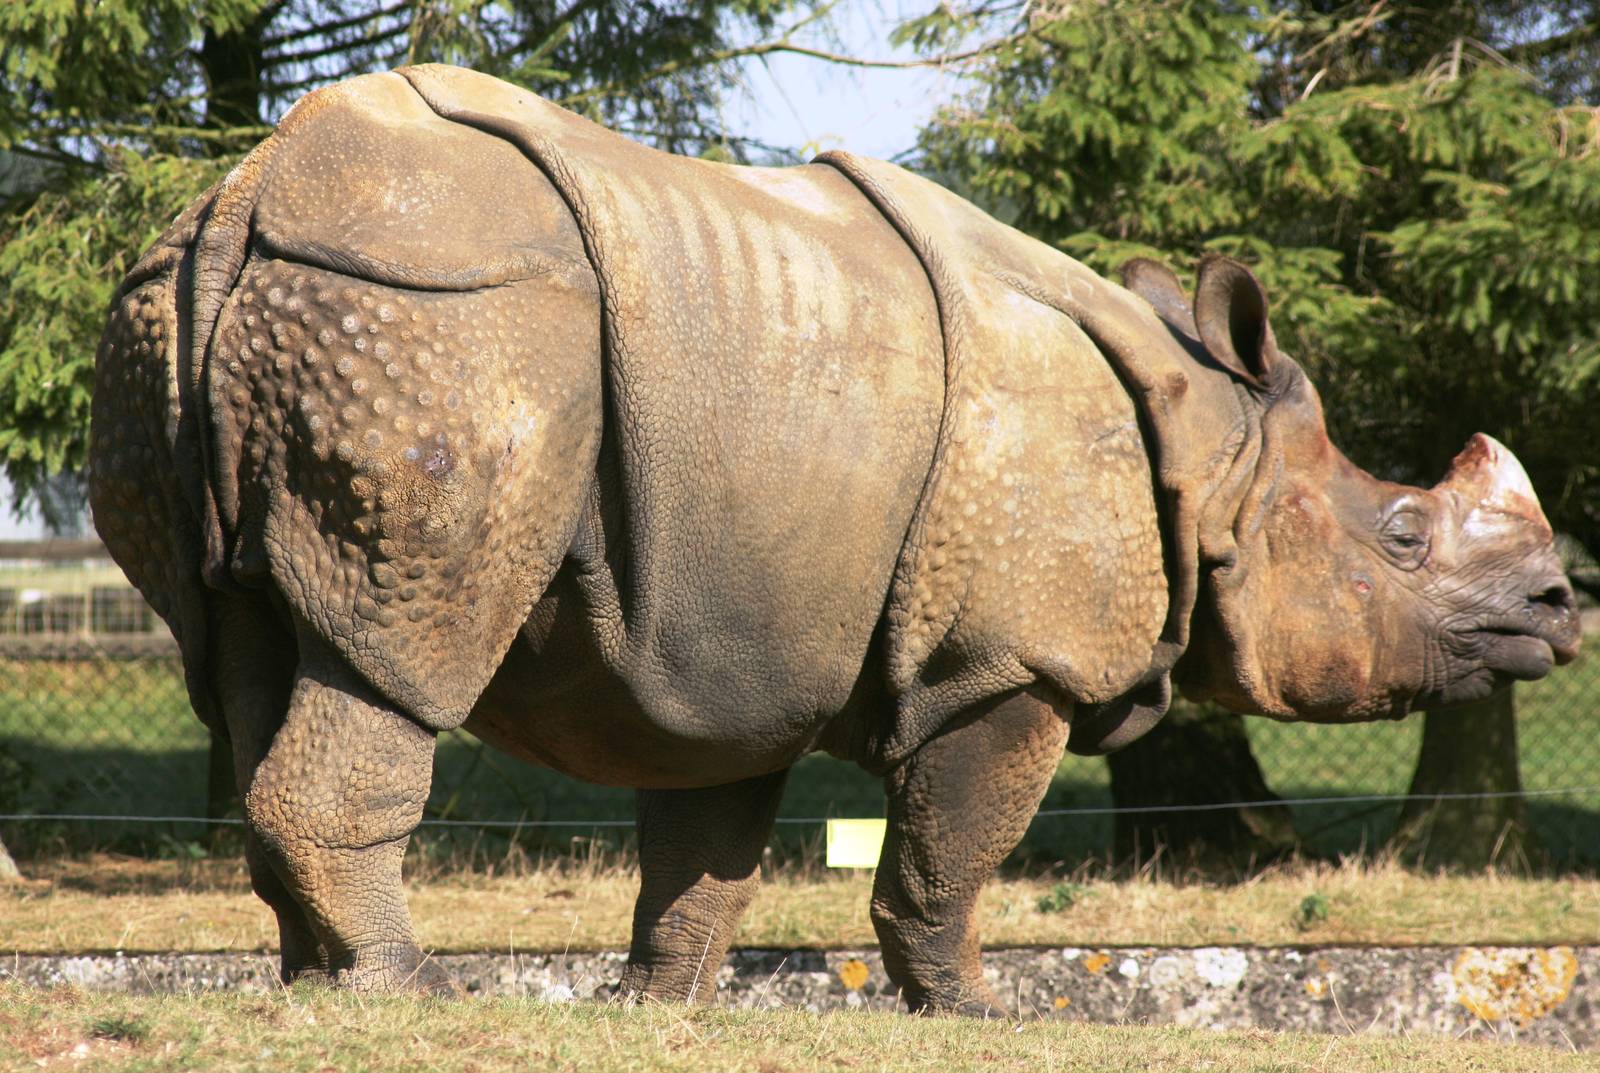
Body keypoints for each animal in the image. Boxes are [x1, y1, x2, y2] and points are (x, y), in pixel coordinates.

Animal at [88, 65, 1580, 1014]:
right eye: (1402, 534)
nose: (1562, 607)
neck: (1216, 455)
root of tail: (245, 199)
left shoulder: (730, 631)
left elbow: (705, 848)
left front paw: (662, 1012)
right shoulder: (1011, 657)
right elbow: (950, 846)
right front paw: (973, 1012)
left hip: (192, 307)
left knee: (245, 653)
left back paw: (316, 989)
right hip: (448, 321)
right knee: (404, 647)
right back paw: (412, 994)